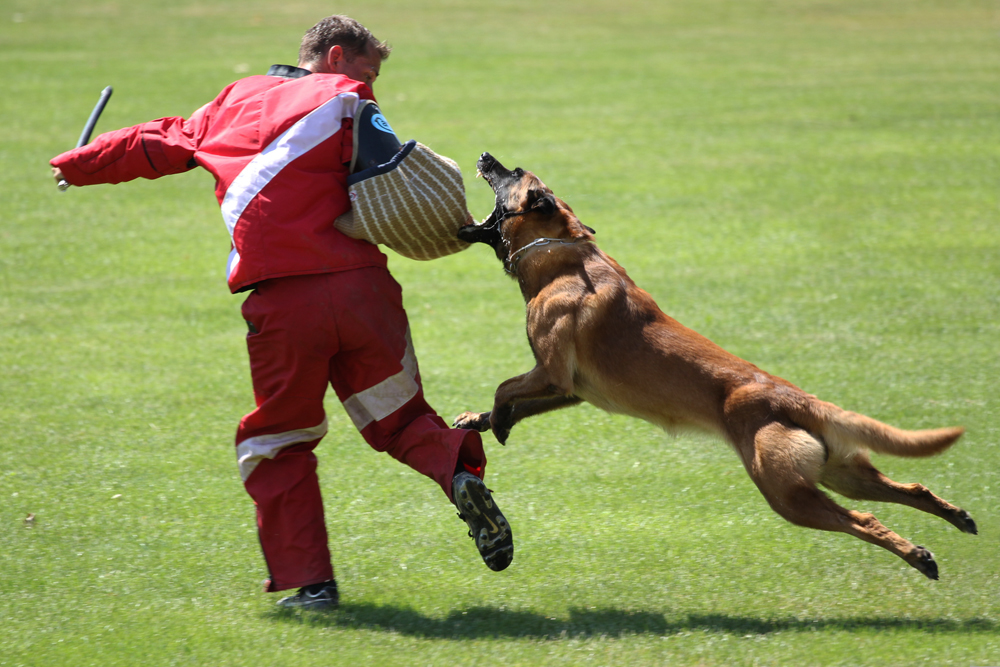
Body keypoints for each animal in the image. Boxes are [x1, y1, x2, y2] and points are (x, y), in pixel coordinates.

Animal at [454, 151, 976, 580]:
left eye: (513, 173)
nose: (484, 154)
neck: (559, 252)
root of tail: (795, 398)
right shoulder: (571, 391)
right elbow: (512, 401)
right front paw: (479, 421)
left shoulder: (551, 372)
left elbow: (504, 388)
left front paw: (495, 419)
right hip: (840, 473)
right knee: (912, 487)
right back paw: (958, 519)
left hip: (787, 494)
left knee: (862, 520)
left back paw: (919, 556)